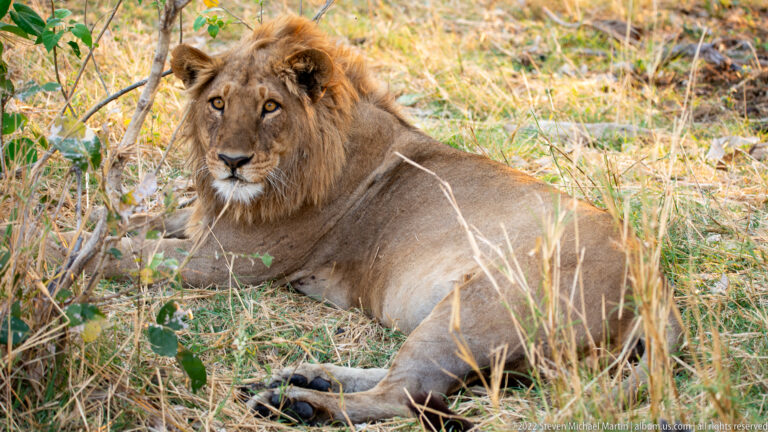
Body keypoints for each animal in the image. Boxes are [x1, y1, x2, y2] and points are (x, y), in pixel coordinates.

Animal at [51, 15, 681, 430]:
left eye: (270, 107)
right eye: (217, 103)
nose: (230, 161)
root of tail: (657, 288)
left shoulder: (229, 261)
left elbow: (120, 251)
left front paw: (62, 262)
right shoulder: (207, 221)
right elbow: (137, 222)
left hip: (479, 304)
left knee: (401, 395)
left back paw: (297, 404)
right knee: (401, 380)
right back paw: (305, 377)